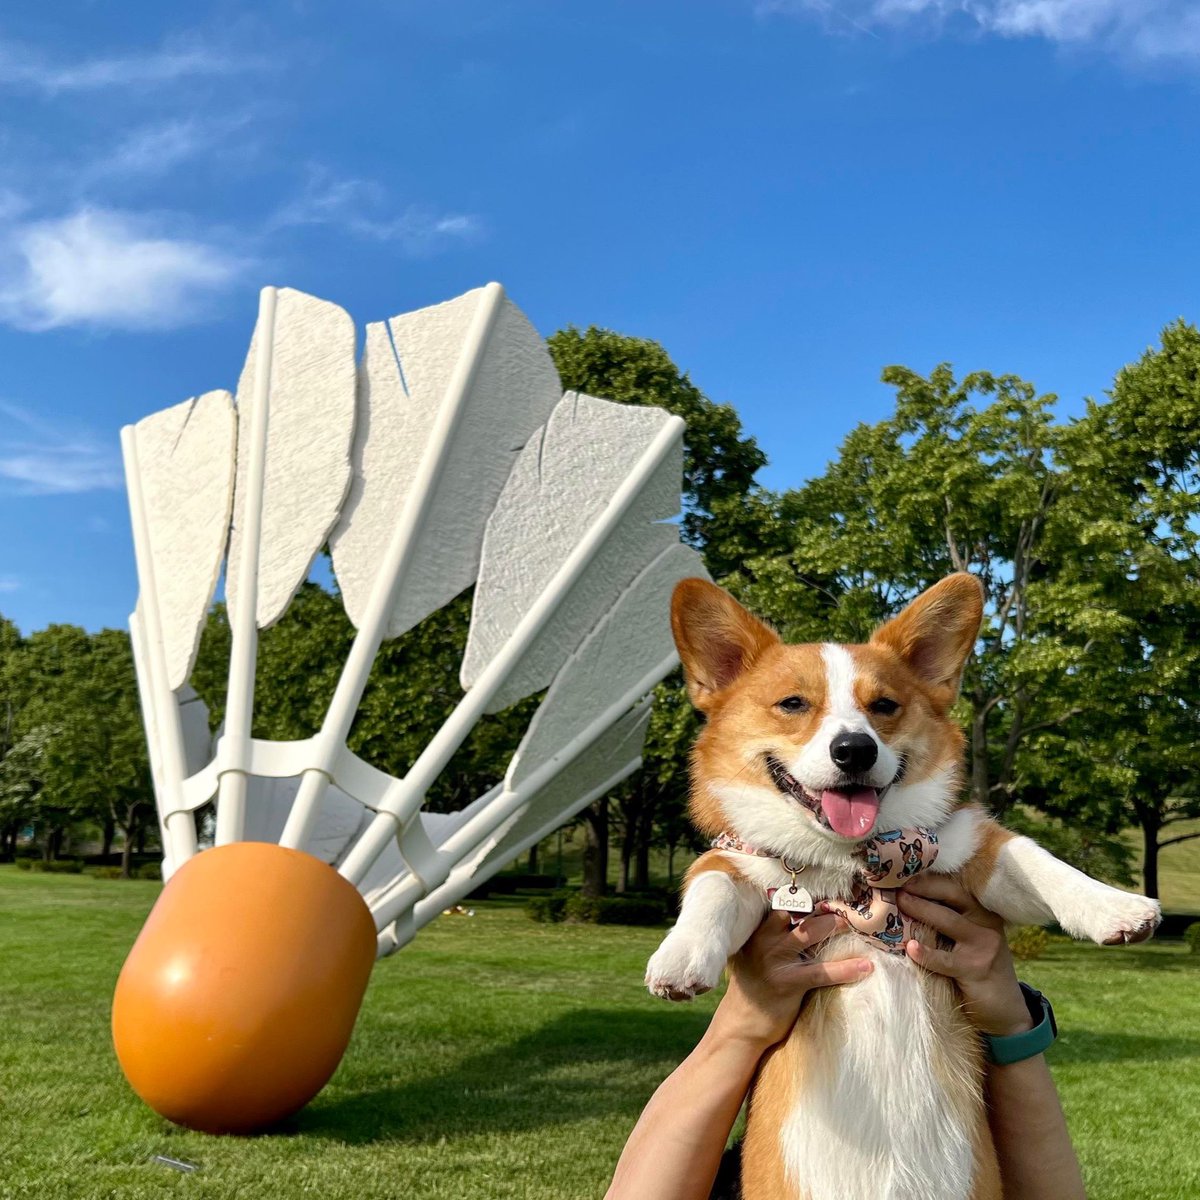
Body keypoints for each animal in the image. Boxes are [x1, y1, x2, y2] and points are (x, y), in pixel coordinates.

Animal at [648, 571, 1161, 1200]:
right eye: (793, 704)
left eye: (884, 706)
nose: (855, 749)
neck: (855, 867)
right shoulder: (739, 860)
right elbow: (713, 888)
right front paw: (680, 960)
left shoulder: (963, 841)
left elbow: (1037, 859)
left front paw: (1118, 907)